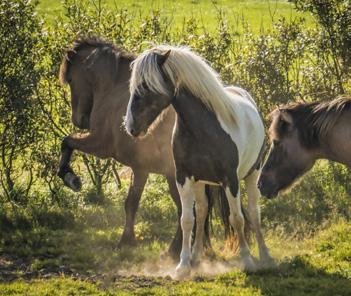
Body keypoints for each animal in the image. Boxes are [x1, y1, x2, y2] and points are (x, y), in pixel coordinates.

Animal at [57, 37, 214, 260]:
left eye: (70, 79)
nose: (79, 120)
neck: (113, 89)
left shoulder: (100, 145)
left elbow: (67, 141)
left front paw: (71, 178)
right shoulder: (140, 168)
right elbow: (131, 202)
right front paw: (127, 240)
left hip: (174, 177)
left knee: (186, 210)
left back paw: (173, 251)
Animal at [124, 44, 276, 278]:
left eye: (146, 86)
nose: (131, 127)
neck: (203, 128)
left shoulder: (230, 180)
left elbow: (237, 218)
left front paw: (247, 260)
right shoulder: (184, 178)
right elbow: (188, 219)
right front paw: (182, 265)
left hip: (253, 175)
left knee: (253, 212)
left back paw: (265, 255)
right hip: (201, 182)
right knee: (203, 211)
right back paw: (196, 257)